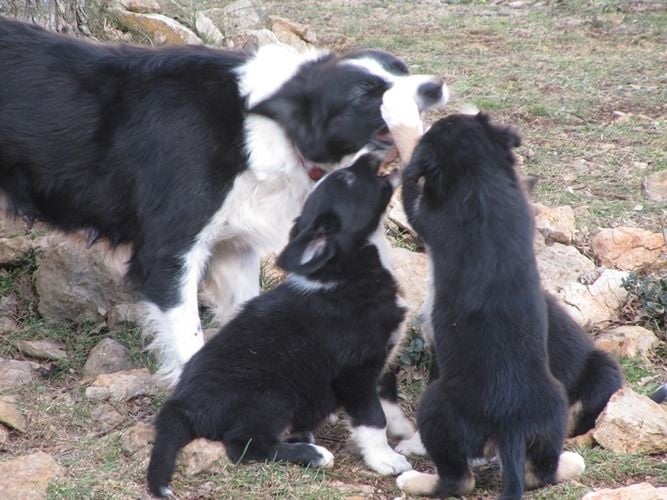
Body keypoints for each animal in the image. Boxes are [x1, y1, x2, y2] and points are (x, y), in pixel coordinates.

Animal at [0, 14, 452, 382]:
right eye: (365, 93)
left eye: (403, 70)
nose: (436, 85)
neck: (259, 124)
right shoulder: (170, 250)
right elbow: (188, 336)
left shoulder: (234, 248)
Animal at [148, 146, 412, 498]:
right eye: (348, 179)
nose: (372, 150)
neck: (348, 273)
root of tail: (181, 403)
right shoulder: (354, 374)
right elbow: (373, 418)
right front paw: (385, 459)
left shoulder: (379, 360)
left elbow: (388, 401)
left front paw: (405, 430)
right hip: (271, 397)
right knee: (243, 445)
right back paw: (312, 454)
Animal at [394, 115, 588, 498]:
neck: (480, 175)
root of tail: (509, 424)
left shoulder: (425, 217)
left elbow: (410, 186)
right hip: (554, 404)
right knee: (539, 473)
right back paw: (570, 462)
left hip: (436, 407)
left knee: (459, 479)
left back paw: (413, 479)